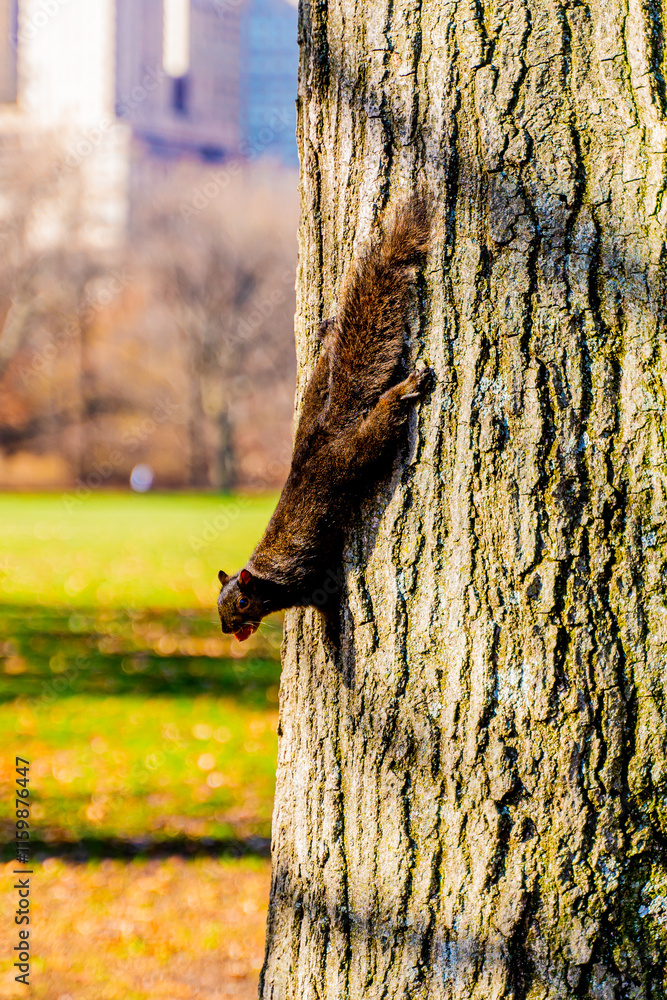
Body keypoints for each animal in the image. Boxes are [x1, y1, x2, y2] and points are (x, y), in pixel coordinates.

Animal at [217, 194, 434, 642]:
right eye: (218, 608)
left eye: (242, 603)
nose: (231, 631)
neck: (266, 579)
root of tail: (324, 433)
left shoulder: (307, 582)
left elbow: (328, 602)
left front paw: (335, 636)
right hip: (317, 394)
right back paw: (330, 329)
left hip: (351, 456)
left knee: (378, 427)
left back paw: (403, 390)